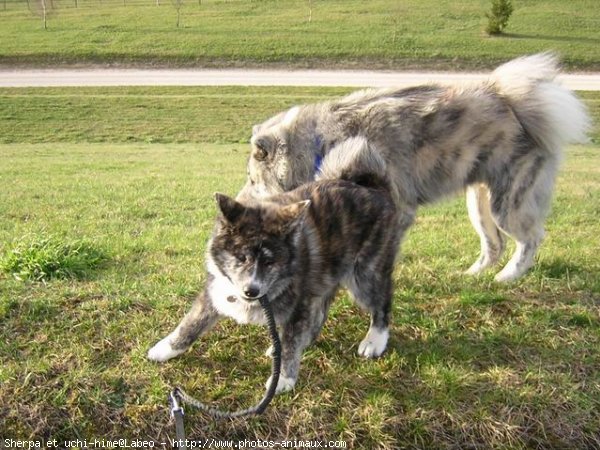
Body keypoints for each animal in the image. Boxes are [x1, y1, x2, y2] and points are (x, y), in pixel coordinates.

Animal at [149, 138, 404, 394]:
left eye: (270, 262)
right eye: (241, 257)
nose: (251, 291)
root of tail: (373, 186)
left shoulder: (300, 304)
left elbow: (292, 341)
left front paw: (283, 378)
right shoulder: (217, 291)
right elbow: (191, 323)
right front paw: (165, 348)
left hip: (364, 274)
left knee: (381, 302)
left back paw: (375, 340)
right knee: (320, 313)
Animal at [241, 54, 588, 282]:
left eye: (252, 179)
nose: (240, 201)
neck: (321, 144)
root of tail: (515, 100)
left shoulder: (396, 211)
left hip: (507, 202)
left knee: (532, 238)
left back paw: (507, 277)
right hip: (479, 203)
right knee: (494, 244)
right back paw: (472, 276)